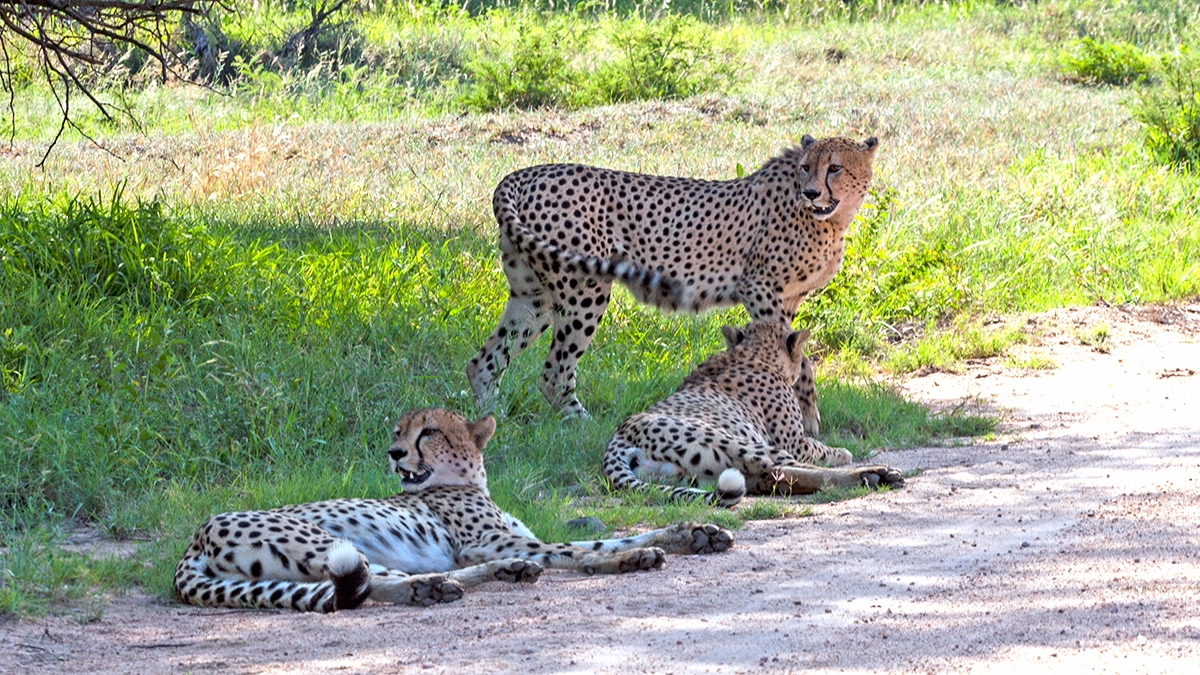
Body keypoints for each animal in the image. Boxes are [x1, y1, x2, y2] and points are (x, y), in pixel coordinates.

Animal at [174, 408, 734, 612]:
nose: (394, 453)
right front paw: (629, 558)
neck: (467, 481)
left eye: (427, 432)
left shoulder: (501, 539)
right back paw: (436, 587)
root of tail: (198, 532)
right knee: (376, 584)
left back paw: (502, 573)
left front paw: (689, 534)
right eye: (397, 433)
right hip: (330, 543)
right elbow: (582, 549)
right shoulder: (494, 539)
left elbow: (614, 537)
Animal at [466, 134, 879, 418]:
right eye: (806, 166)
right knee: (554, 371)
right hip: (585, 288)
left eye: (835, 167)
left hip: (533, 296)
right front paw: (808, 417)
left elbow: (790, 350)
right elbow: (801, 360)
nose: (810, 192)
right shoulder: (758, 287)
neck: (833, 219)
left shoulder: (788, 298)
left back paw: (490, 420)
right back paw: (580, 424)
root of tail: (525, 173)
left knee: (485, 361)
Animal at [602, 321, 905, 507]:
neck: (752, 355)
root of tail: (621, 434)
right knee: (790, 470)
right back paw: (874, 474)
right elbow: (822, 449)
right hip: (743, 444)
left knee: (776, 478)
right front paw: (844, 452)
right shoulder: (794, 443)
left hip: (705, 472)